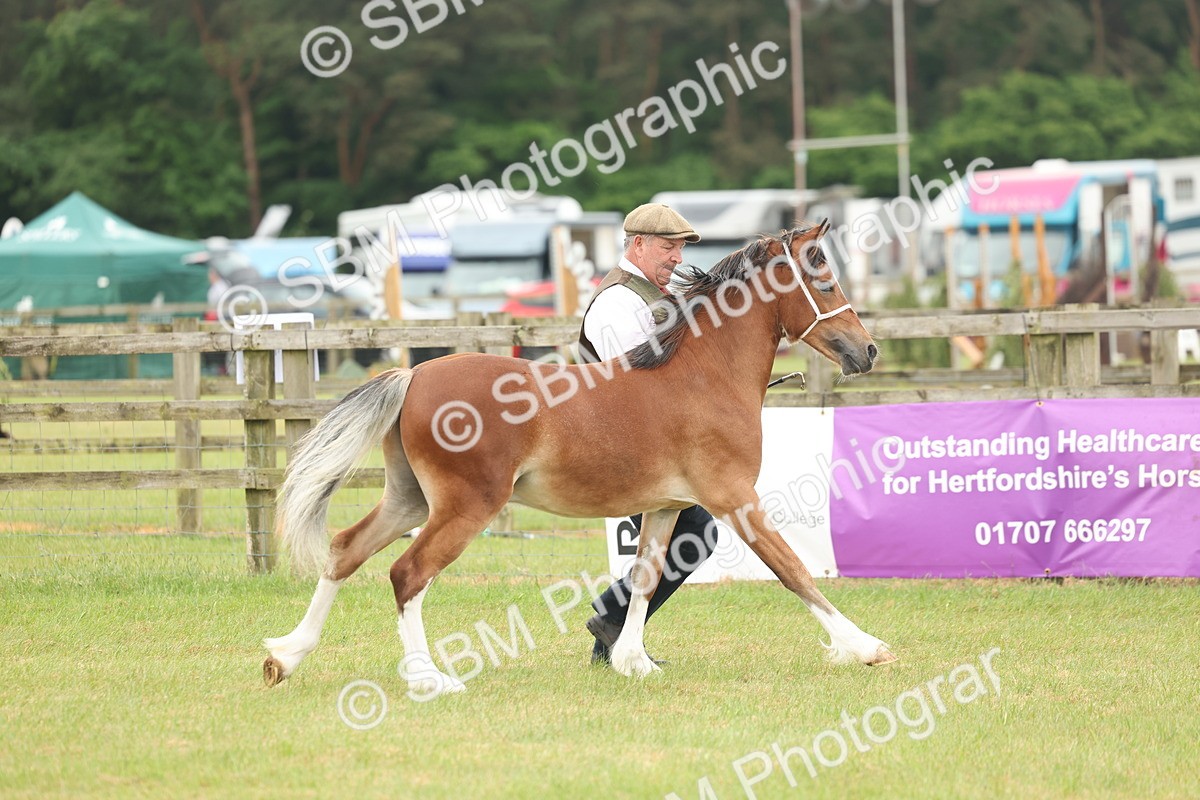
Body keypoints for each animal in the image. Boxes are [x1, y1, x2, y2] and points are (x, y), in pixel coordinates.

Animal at [262, 221, 895, 695]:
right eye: (825, 280)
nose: (866, 352)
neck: (704, 377)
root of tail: (414, 374)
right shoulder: (734, 498)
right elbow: (791, 569)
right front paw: (865, 648)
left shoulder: (667, 508)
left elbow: (643, 580)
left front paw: (632, 661)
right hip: (464, 507)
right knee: (407, 573)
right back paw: (429, 679)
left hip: (408, 499)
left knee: (345, 551)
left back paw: (286, 656)